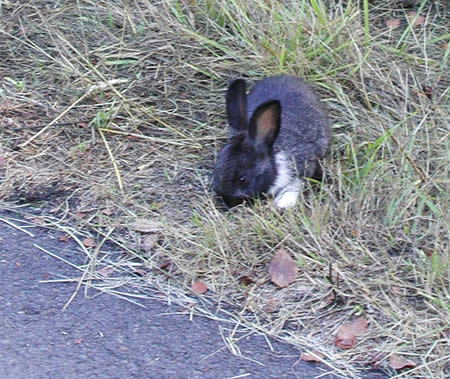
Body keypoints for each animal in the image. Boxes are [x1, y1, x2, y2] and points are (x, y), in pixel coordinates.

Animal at [211, 75, 330, 209]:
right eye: (216, 169)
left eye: (243, 179)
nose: (226, 202)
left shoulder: (304, 164)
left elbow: (297, 182)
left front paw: (283, 203)